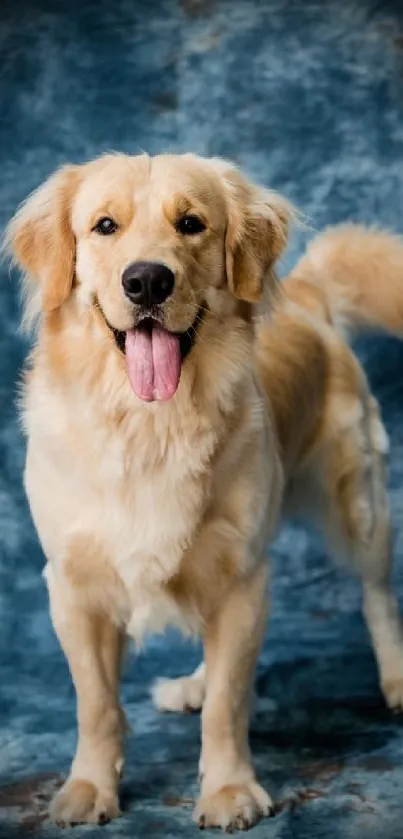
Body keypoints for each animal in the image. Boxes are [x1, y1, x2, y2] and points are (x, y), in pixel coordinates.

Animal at [5, 156, 403, 832]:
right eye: (104, 225)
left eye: (191, 224)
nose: (147, 281)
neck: (149, 425)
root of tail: (307, 292)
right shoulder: (73, 585)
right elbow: (95, 704)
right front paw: (88, 787)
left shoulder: (244, 579)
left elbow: (227, 703)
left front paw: (229, 791)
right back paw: (189, 683)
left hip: (358, 505)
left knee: (377, 596)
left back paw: (397, 677)